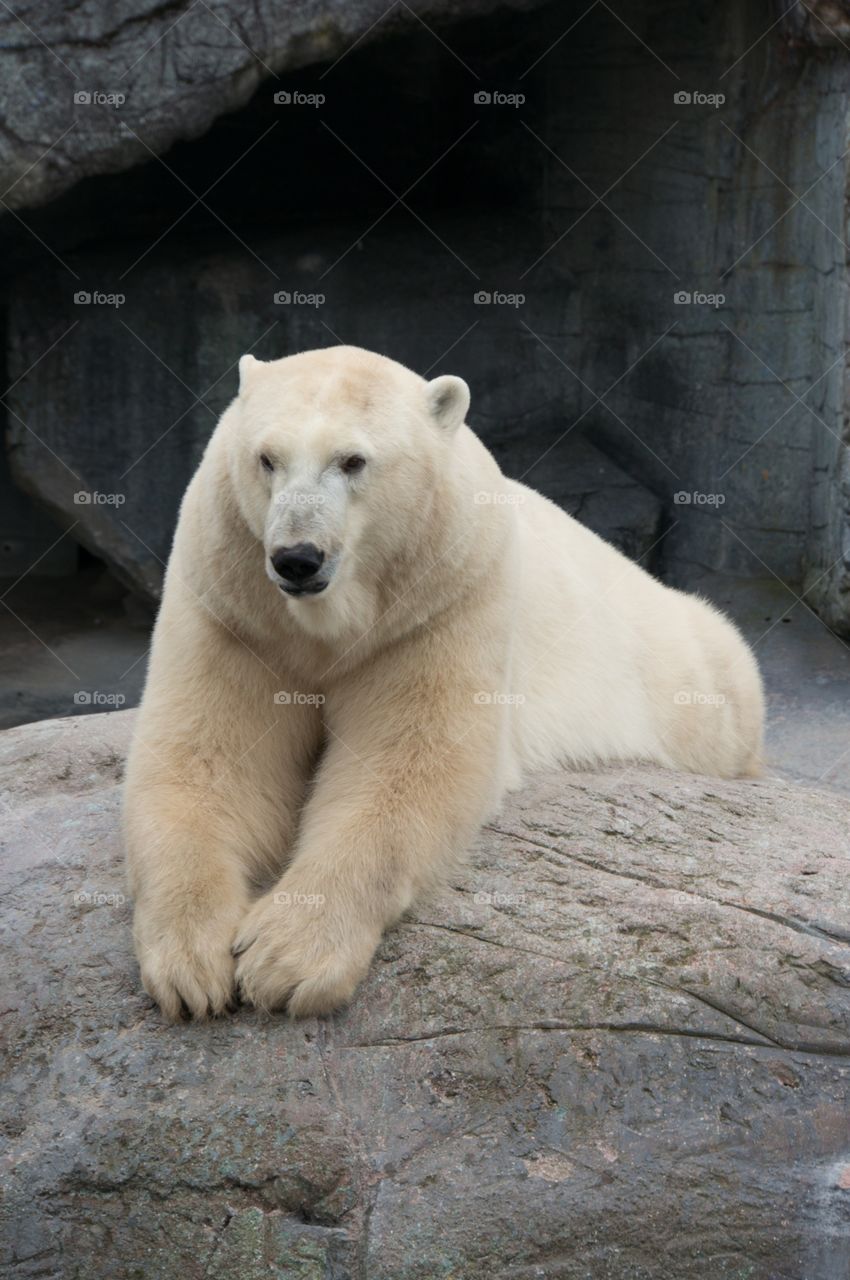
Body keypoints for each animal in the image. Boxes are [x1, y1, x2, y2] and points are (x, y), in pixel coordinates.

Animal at [124, 345, 764, 1021]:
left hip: (683, 668)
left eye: (353, 460)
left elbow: (410, 762)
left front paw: (288, 959)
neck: (326, 621)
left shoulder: (444, 596)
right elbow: (210, 756)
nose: (297, 558)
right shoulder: (232, 603)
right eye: (266, 458)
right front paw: (191, 964)